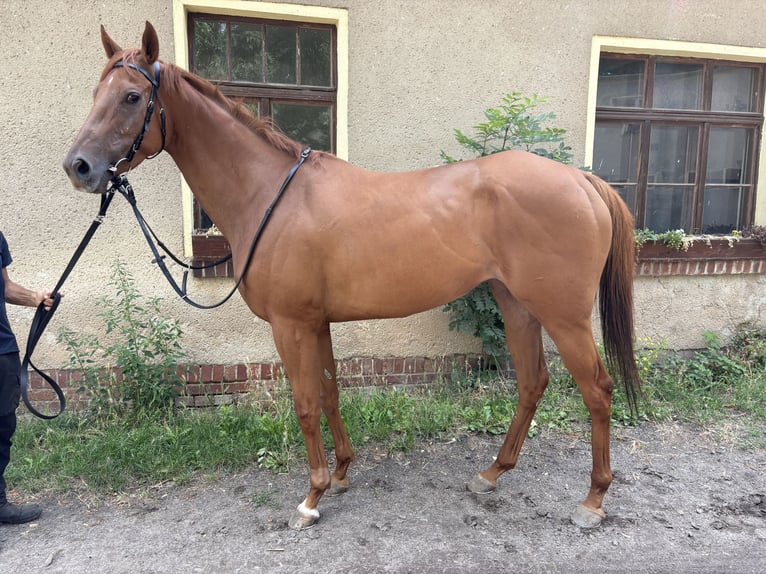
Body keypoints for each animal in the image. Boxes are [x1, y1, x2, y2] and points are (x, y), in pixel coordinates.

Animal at [63, 21, 640, 530]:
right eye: (95, 92)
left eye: (132, 96)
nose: (78, 167)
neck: (271, 194)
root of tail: (583, 182)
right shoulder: (316, 323)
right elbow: (330, 393)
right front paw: (340, 475)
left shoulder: (290, 325)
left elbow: (304, 404)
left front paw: (311, 499)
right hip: (516, 303)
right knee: (532, 381)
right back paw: (492, 473)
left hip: (563, 315)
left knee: (597, 389)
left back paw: (592, 502)